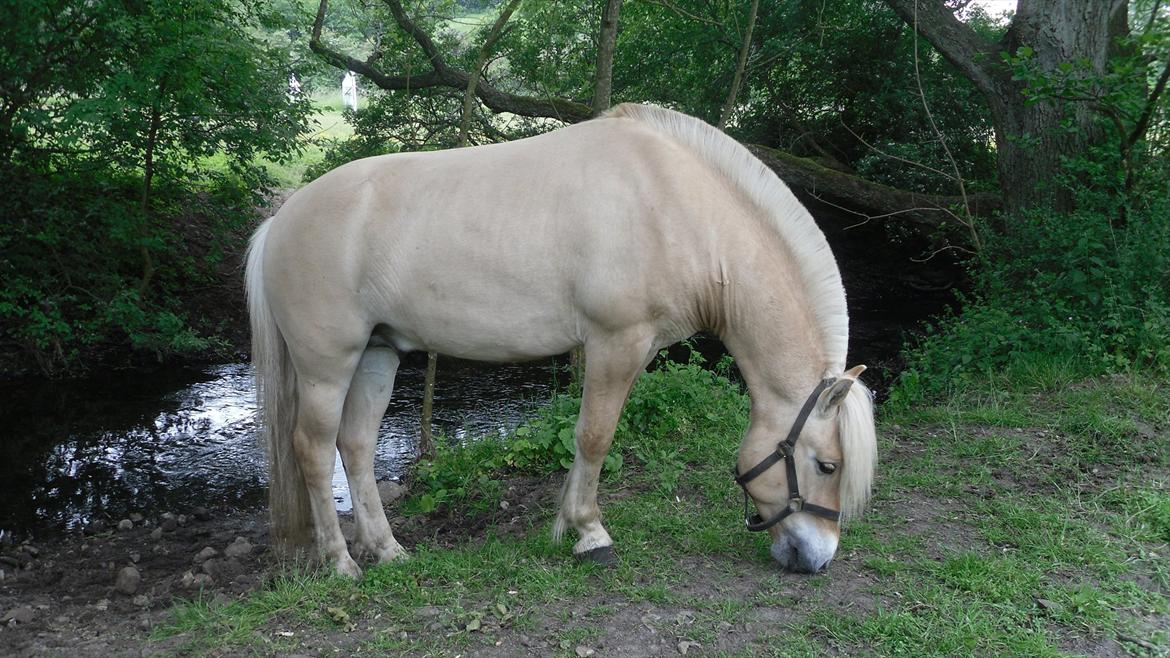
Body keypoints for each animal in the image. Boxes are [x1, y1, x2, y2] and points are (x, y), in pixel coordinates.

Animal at [246, 101, 875, 573]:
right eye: (827, 466)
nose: (818, 559)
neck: (674, 207)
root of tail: (282, 218)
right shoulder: (616, 343)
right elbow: (595, 436)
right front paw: (591, 533)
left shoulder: (625, 349)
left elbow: (583, 438)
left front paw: (564, 525)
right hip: (328, 365)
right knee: (313, 449)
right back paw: (341, 562)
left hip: (378, 354)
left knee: (355, 445)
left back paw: (387, 549)